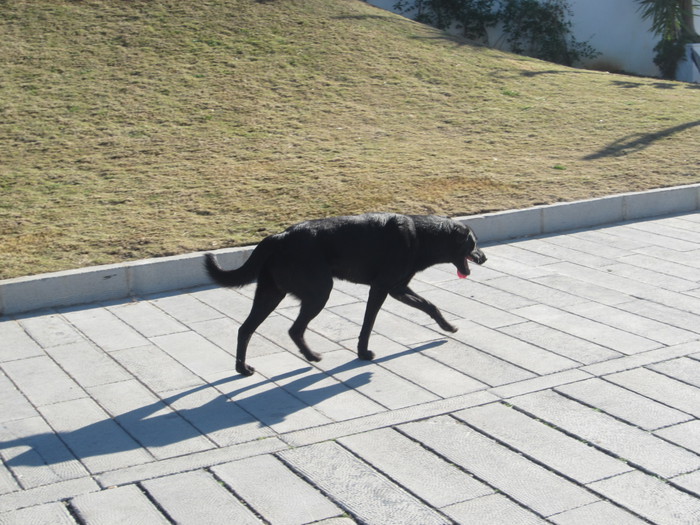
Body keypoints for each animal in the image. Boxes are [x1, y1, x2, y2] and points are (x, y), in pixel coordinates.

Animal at [205, 214, 484, 376]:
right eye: (473, 243)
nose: (484, 257)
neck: (423, 236)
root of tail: (279, 236)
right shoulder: (381, 288)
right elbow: (368, 323)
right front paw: (363, 352)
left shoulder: (398, 289)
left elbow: (430, 305)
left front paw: (447, 326)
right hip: (319, 292)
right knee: (294, 329)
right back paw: (311, 356)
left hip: (270, 294)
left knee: (245, 329)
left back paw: (242, 368)